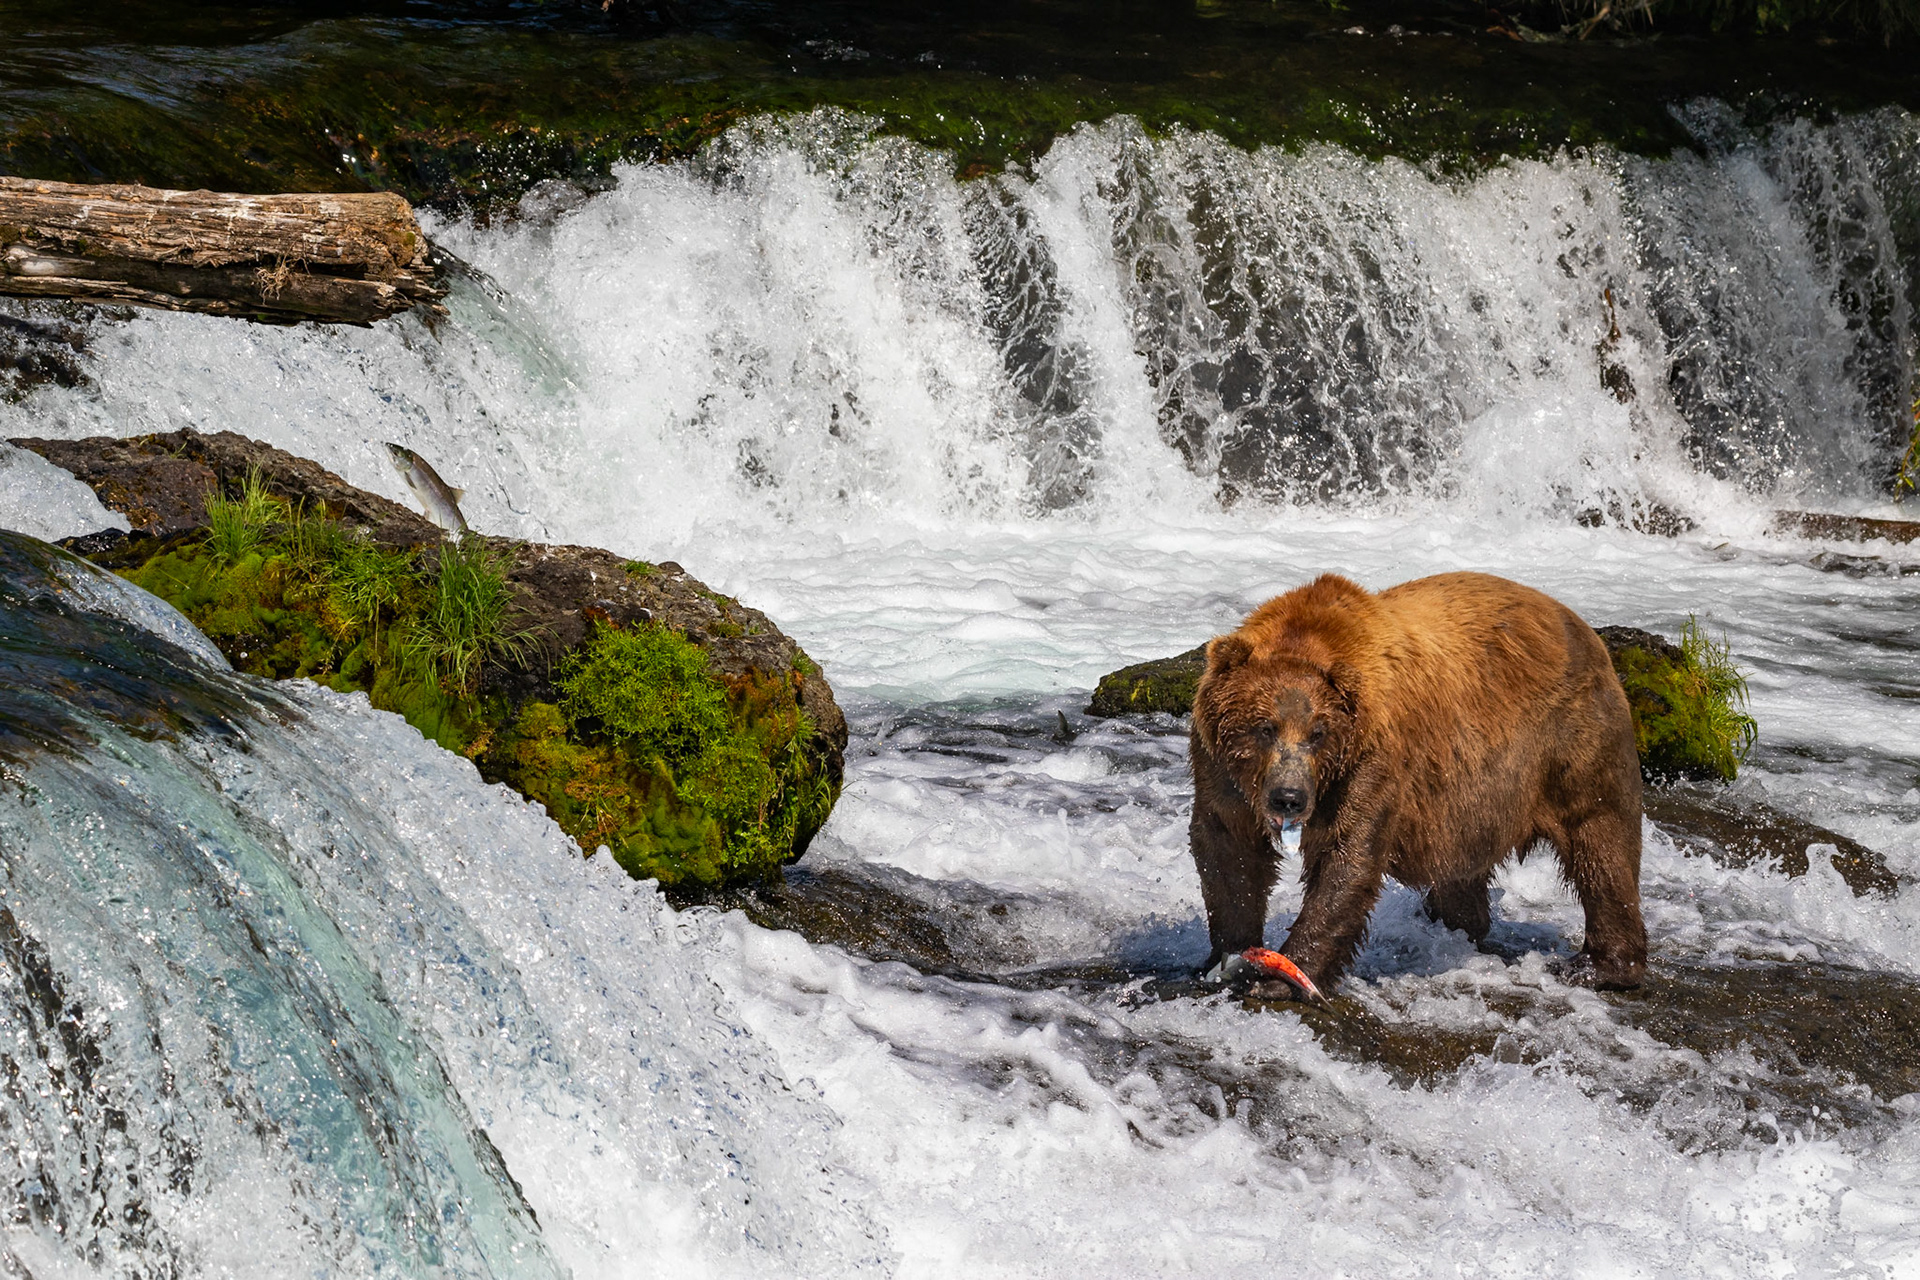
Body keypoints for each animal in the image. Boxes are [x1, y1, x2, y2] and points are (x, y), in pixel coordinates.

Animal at [1188, 571, 1647, 996]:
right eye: (1264, 727)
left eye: (1318, 732)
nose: (1289, 798)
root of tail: (1583, 627)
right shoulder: (1220, 768)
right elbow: (1228, 849)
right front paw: (1228, 955)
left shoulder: (1370, 759)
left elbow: (1347, 857)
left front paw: (1281, 977)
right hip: (1468, 798)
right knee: (1464, 864)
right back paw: (1454, 922)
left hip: (1572, 740)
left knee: (1600, 842)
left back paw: (1599, 966)